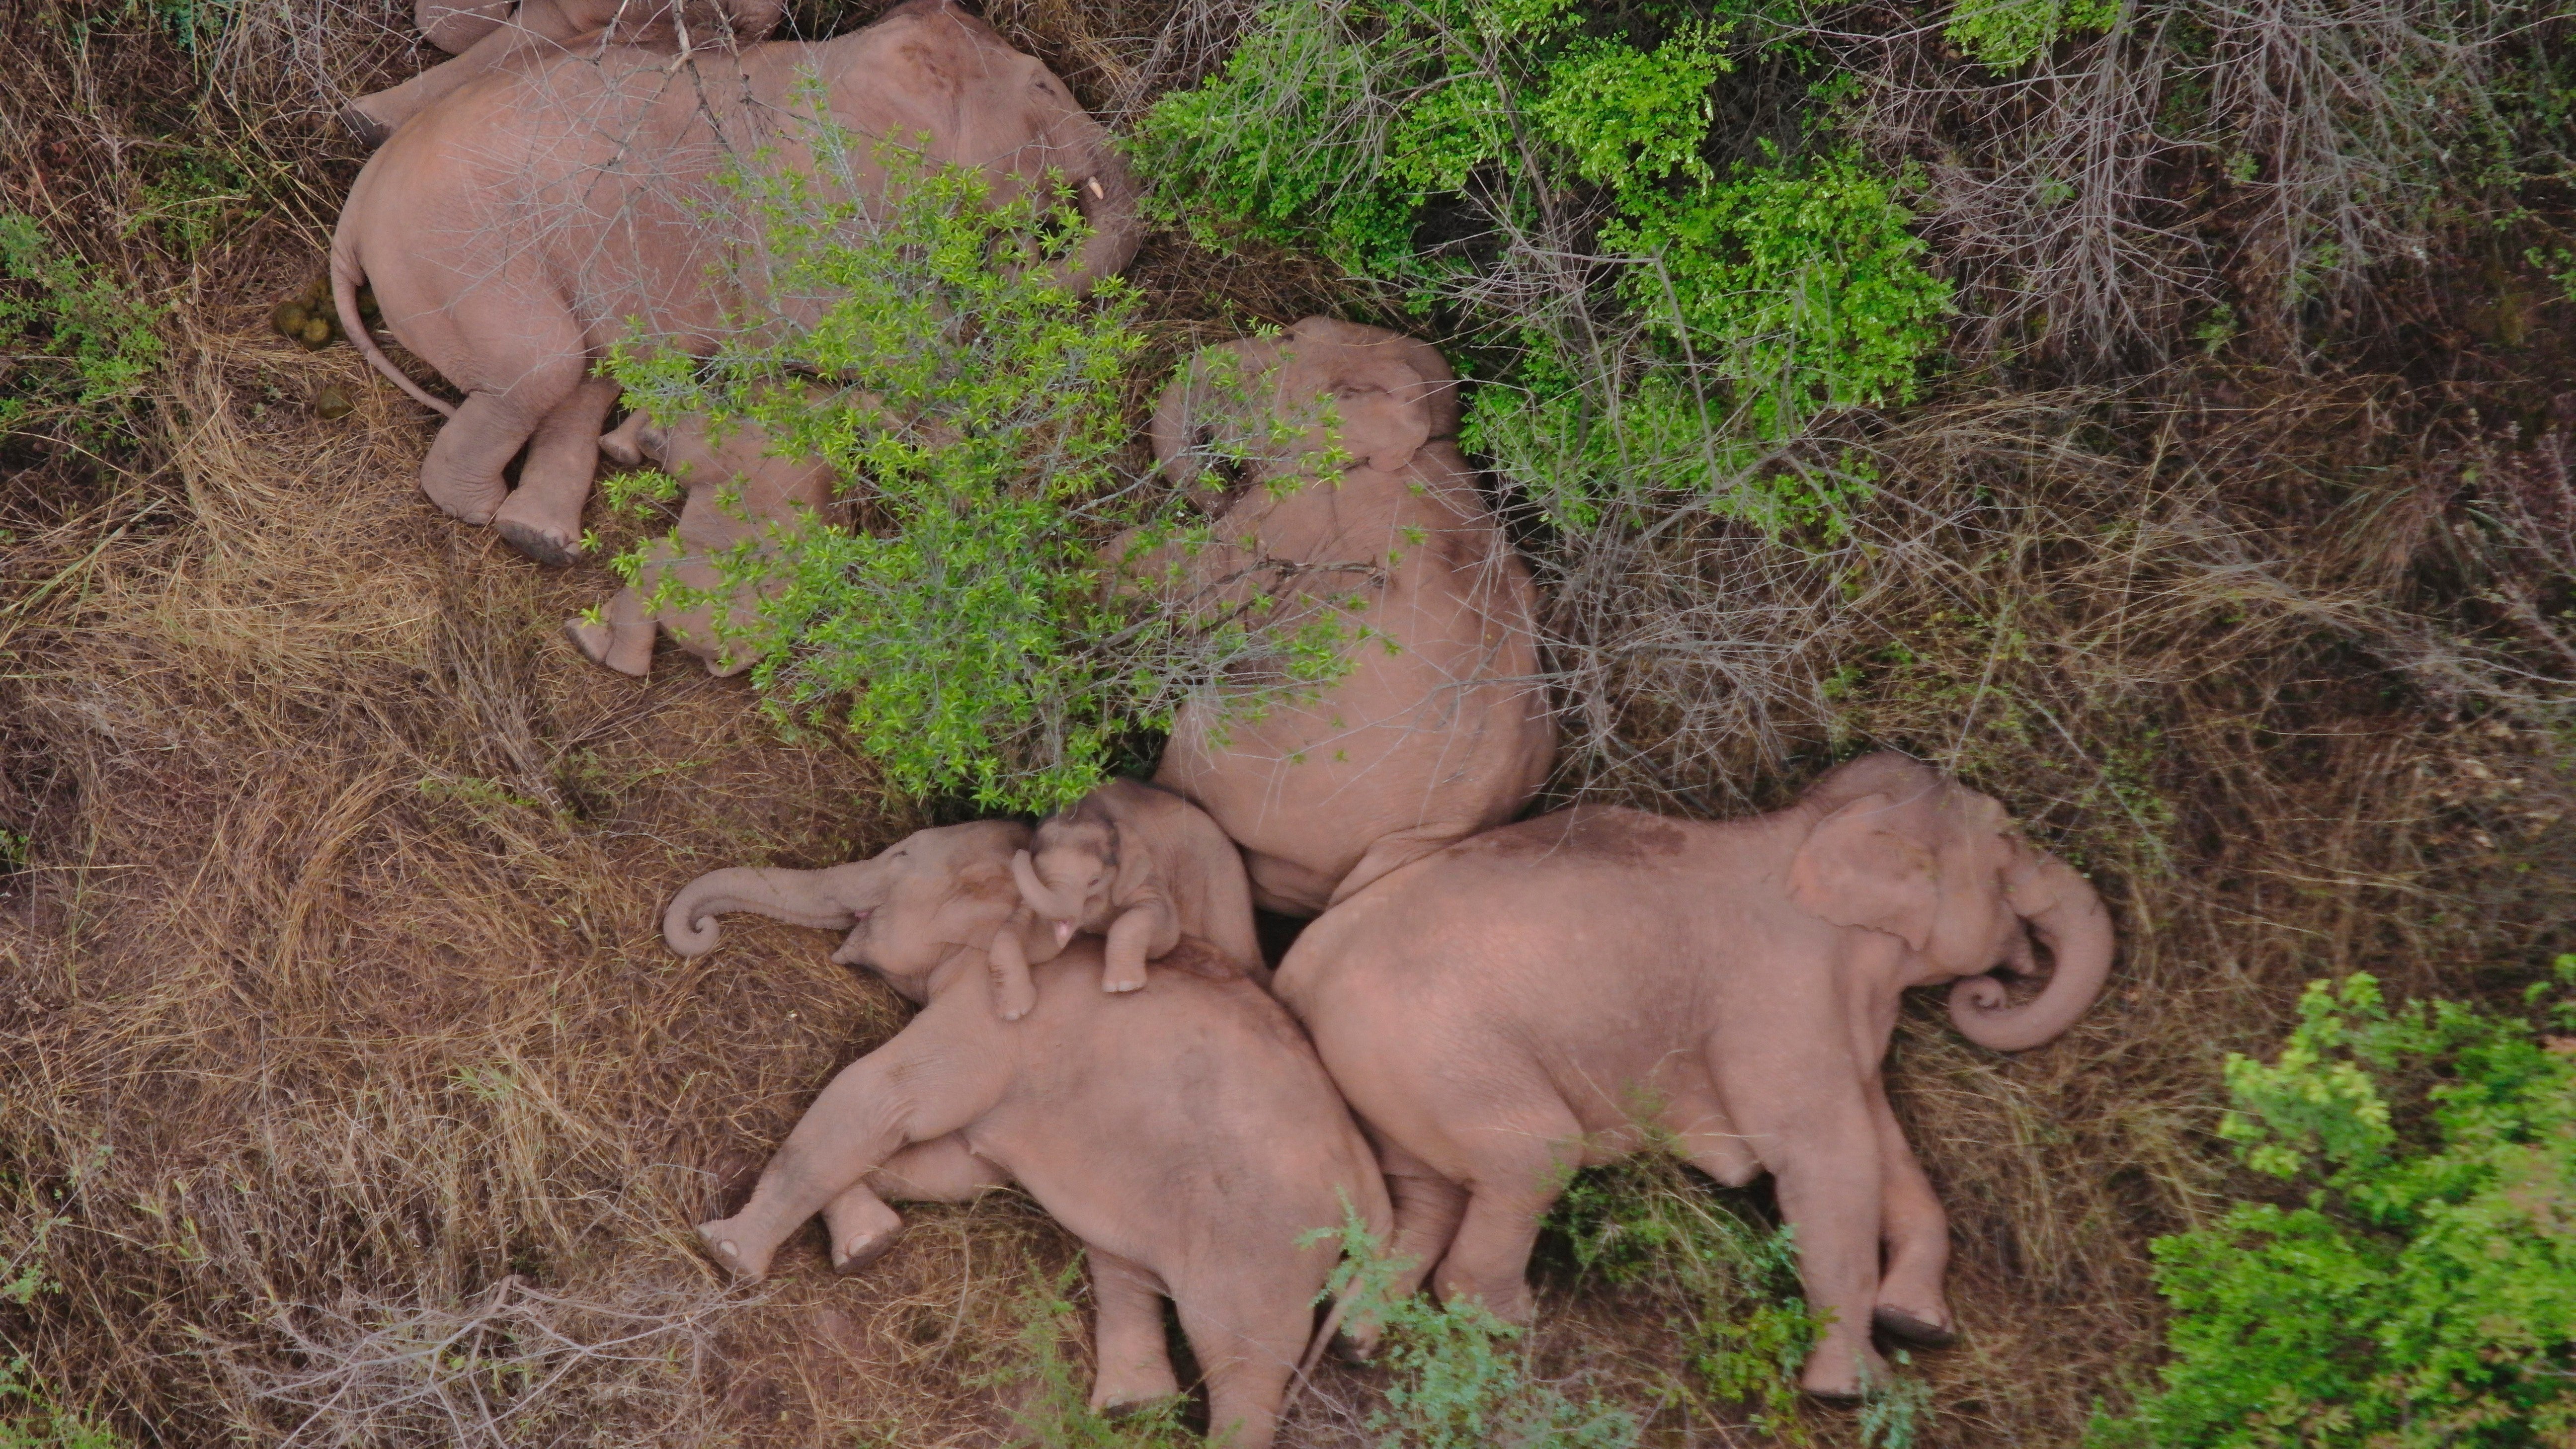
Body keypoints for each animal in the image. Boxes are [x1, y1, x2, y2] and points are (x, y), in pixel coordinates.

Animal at [332, 0, 1138, 564]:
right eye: (1044, 88)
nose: (1017, 254)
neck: (850, 59)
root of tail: (353, 214)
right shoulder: (805, 199)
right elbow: (836, 325)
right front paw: (947, 462)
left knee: (588, 374)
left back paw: (544, 540)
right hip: (460, 253)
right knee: (546, 364)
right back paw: (481, 512)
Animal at [664, 819, 1391, 1433]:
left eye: (900, 858)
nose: (703, 929)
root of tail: (1373, 1188)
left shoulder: (993, 1016)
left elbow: (883, 1096)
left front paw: (727, 1252)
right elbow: (958, 1169)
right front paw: (869, 1245)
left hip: (1265, 1246)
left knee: (1243, 1361)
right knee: (1122, 1261)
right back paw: (1131, 1407)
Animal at [1138, 318, 1556, 912]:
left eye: (1287, 341)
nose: (1223, 484)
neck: (1429, 441)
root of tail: (1439, 835)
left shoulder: (1299, 515)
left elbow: (1195, 582)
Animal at [1267, 747, 2112, 1392]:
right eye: (2008, 841)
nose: (1992, 990)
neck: (1808, 828)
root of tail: (1297, 971)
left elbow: (1885, 1145)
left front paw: (1919, 1325)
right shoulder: (1776, 994)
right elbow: (1825, 1154)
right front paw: (1856, 1390)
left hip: (1393, 1072)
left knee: (1430, 1192)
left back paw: (1361, 1344)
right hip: (1429, 1044)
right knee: (1534, 1155)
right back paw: (1508, 1324)